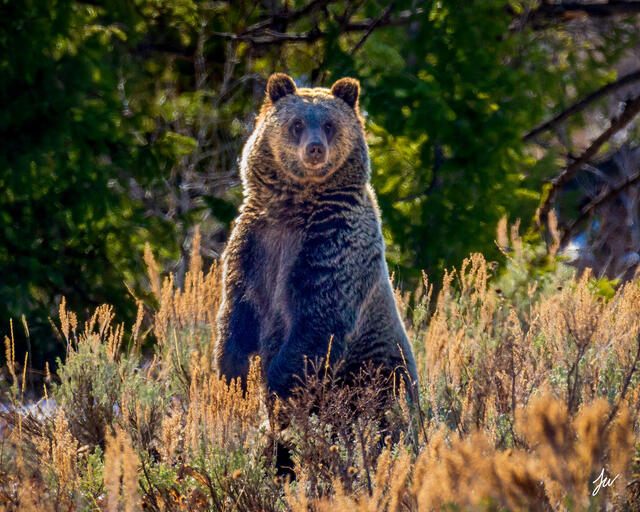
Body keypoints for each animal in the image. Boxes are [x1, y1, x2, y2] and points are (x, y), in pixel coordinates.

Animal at [215, 72, 419, 402]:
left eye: (329, 124)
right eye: (297, 123)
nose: (314, 149)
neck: (295, 205)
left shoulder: (332, 241)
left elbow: (318, 318)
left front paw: (275, 385)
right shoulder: (253, 242)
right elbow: (238, 310)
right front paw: (234, 379)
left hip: (376, 367)